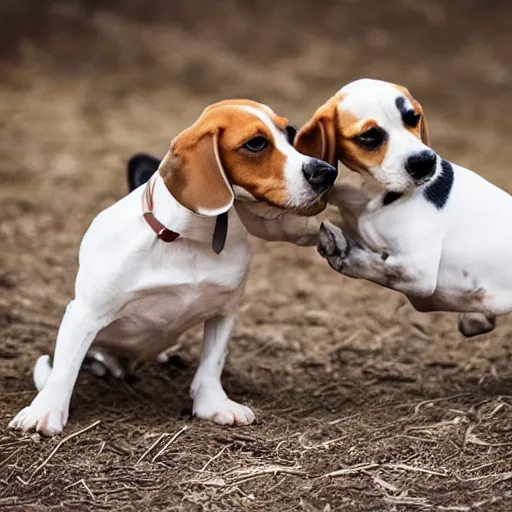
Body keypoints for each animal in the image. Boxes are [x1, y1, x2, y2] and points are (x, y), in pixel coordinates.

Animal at [10, 100, 338, 436]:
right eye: (256, 143)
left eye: (290, 133)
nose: (328, 172)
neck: (192, 238)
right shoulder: (85, 314)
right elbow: (64, 370)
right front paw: (45, 413)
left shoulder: (225, 310)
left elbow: (211, 364)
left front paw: (212, 405)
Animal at [294, 79, 510, 336]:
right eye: (370, 136)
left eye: (413, 118)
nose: (425, 162)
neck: (376, 198)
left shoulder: (419, 273)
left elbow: (382, 267)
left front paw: (345, 253)